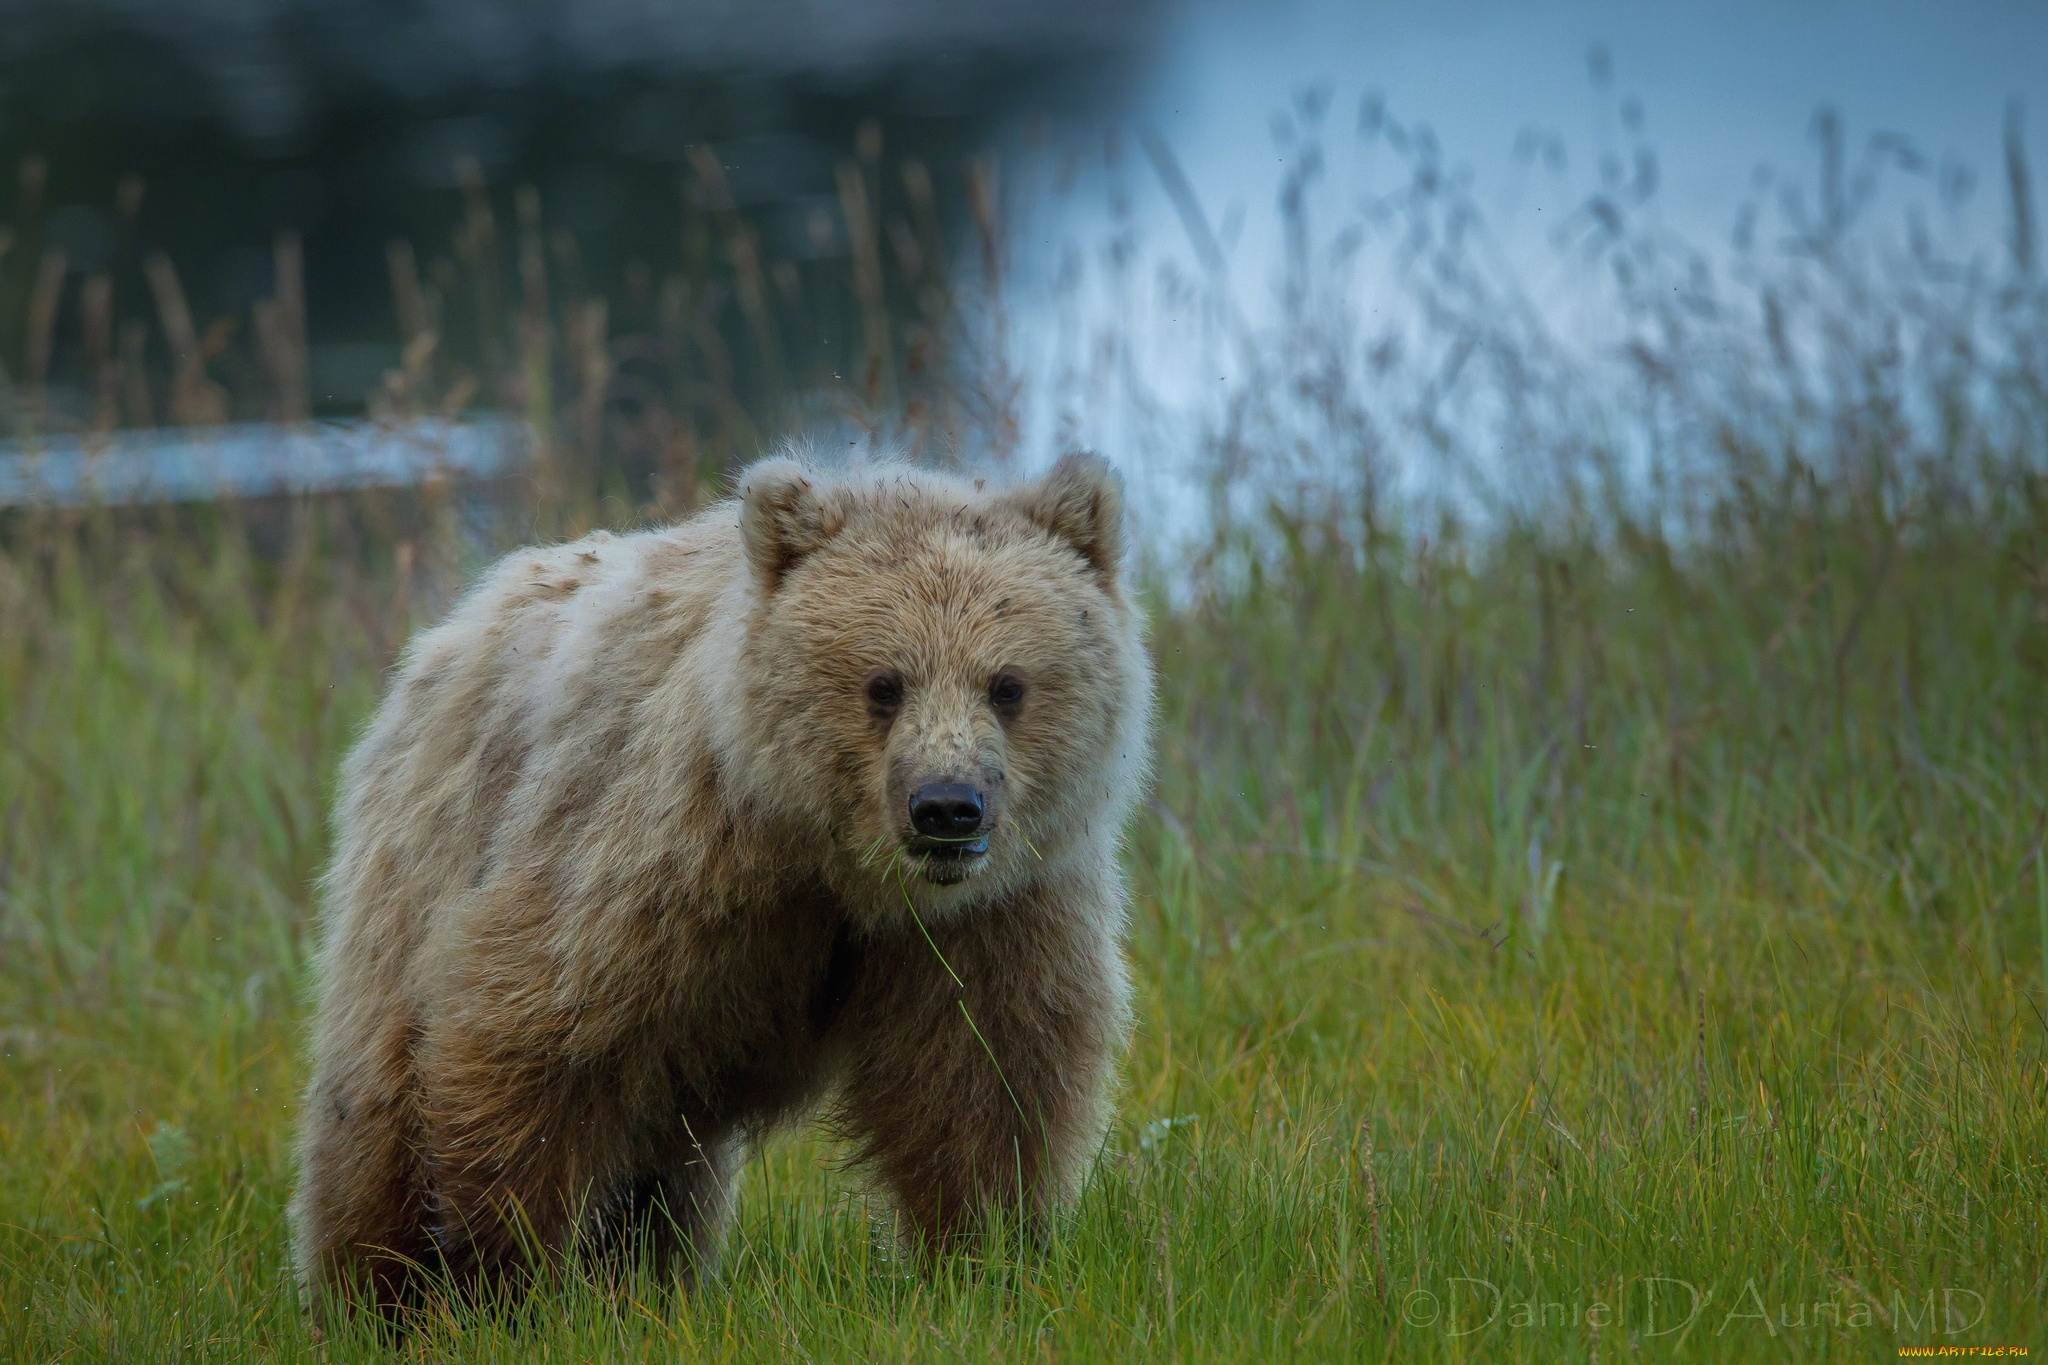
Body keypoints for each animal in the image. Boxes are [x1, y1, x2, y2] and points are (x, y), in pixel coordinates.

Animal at [286, 454, 1155, 1317]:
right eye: (884, 682)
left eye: (1007, 684)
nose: (946, 806)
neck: (830, 864)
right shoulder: (657, 862)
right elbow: (531, 1035)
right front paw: (503, 1279)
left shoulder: (993, 912)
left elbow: (983, 1077)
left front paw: (984, 1254)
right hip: (423, 860)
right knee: (373, 1112)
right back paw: (371, 1295)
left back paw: (643, 1280)